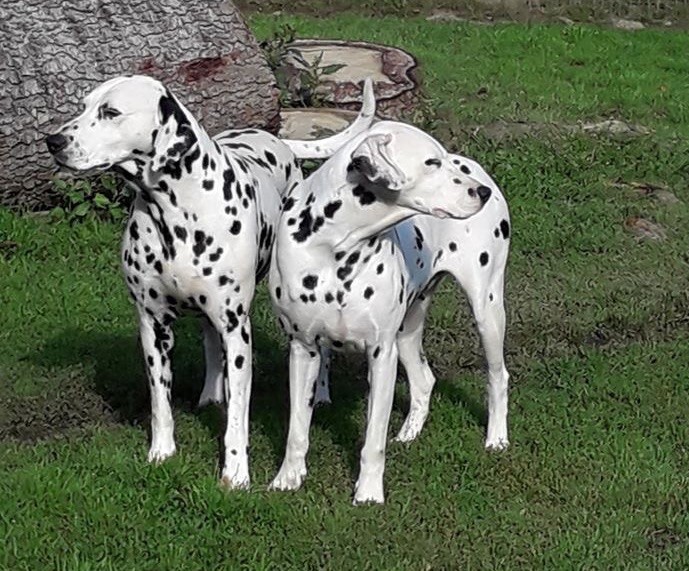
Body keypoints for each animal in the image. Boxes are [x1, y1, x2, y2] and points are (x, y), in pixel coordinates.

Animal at [45, 73, 374, 490]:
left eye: (111, 112)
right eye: (84, 106)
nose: (53, 141)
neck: (175, 213)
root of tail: (278, 140)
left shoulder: (237, 331)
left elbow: (237, 418)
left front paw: (236, 472)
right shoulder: (152, 326)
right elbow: (161, 401)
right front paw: (161, 452)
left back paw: (321, 393)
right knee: (208, 342)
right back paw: (211, 392)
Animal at [268, 117, 510, 504]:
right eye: (432, 162)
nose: (482, 193)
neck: (334, 248)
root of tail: (478, 167)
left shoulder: (381, 355)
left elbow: (373, 441)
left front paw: (368, 492)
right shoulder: (303, 350)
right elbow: (296, 430)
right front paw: (287, 478)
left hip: (487, 312)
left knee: (498, 376)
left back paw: (497, 438)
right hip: (407, 332)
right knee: (424, 381)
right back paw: (409, 432)